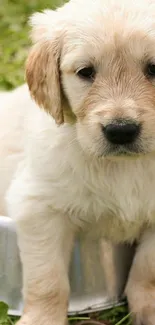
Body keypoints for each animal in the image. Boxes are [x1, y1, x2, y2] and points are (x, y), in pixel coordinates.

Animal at [1, 0, 155, 322]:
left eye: (154, 68)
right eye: (86, 72)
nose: (120, 131)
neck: (125, 166)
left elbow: (147, 269)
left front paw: (148, 310)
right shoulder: (38, 206)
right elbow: (47, 279)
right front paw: (42, 319)